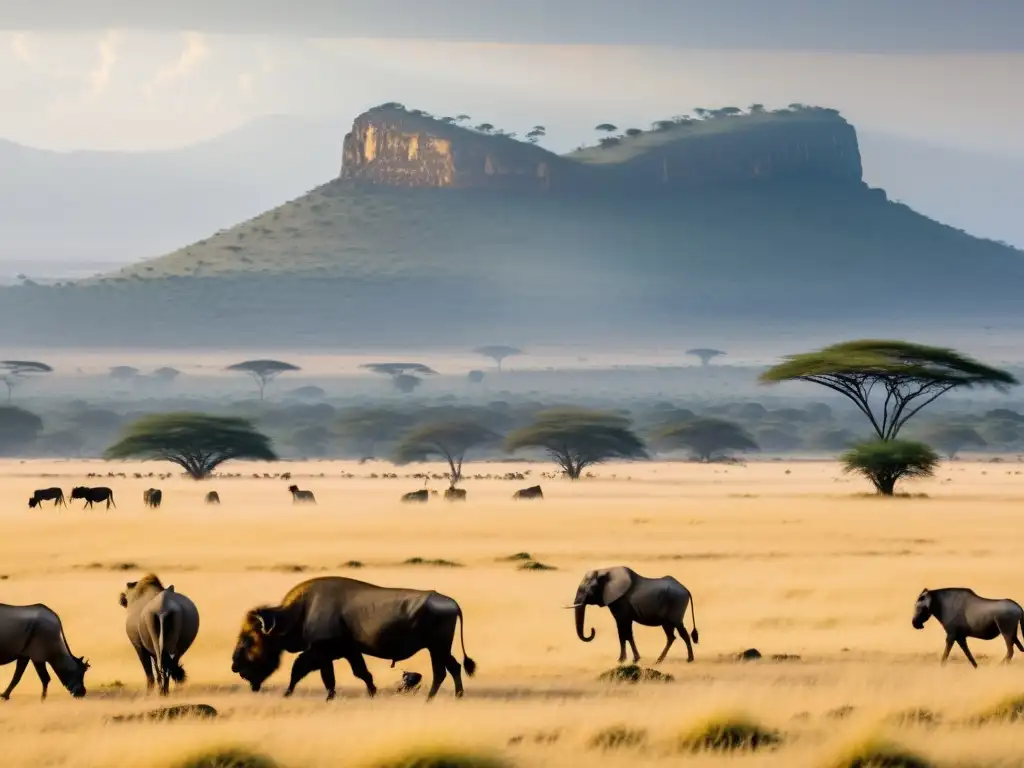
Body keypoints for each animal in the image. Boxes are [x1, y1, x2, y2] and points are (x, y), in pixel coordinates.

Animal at [232, 577, 475, 704]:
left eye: (250, 638)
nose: (235, 666)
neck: (300, 610)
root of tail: (452, 603)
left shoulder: (322, 653)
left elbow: (310, 673)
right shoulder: (347, 652)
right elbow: (361, 673)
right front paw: (372, 693)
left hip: (437, 648)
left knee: (443, 670)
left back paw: (436, 698)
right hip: (439, 649)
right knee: (450, 668)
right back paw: (453, 696)